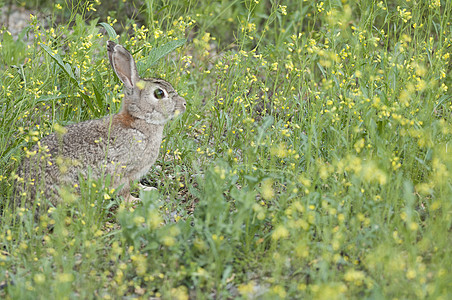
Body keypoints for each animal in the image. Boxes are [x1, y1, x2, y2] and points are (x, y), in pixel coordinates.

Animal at [15, 41, 186, 207]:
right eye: (159, 93)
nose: (184, 104)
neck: (138, 120)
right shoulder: (123, 170)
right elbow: (124, 190)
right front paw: (134, 201)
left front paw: (148, 189)